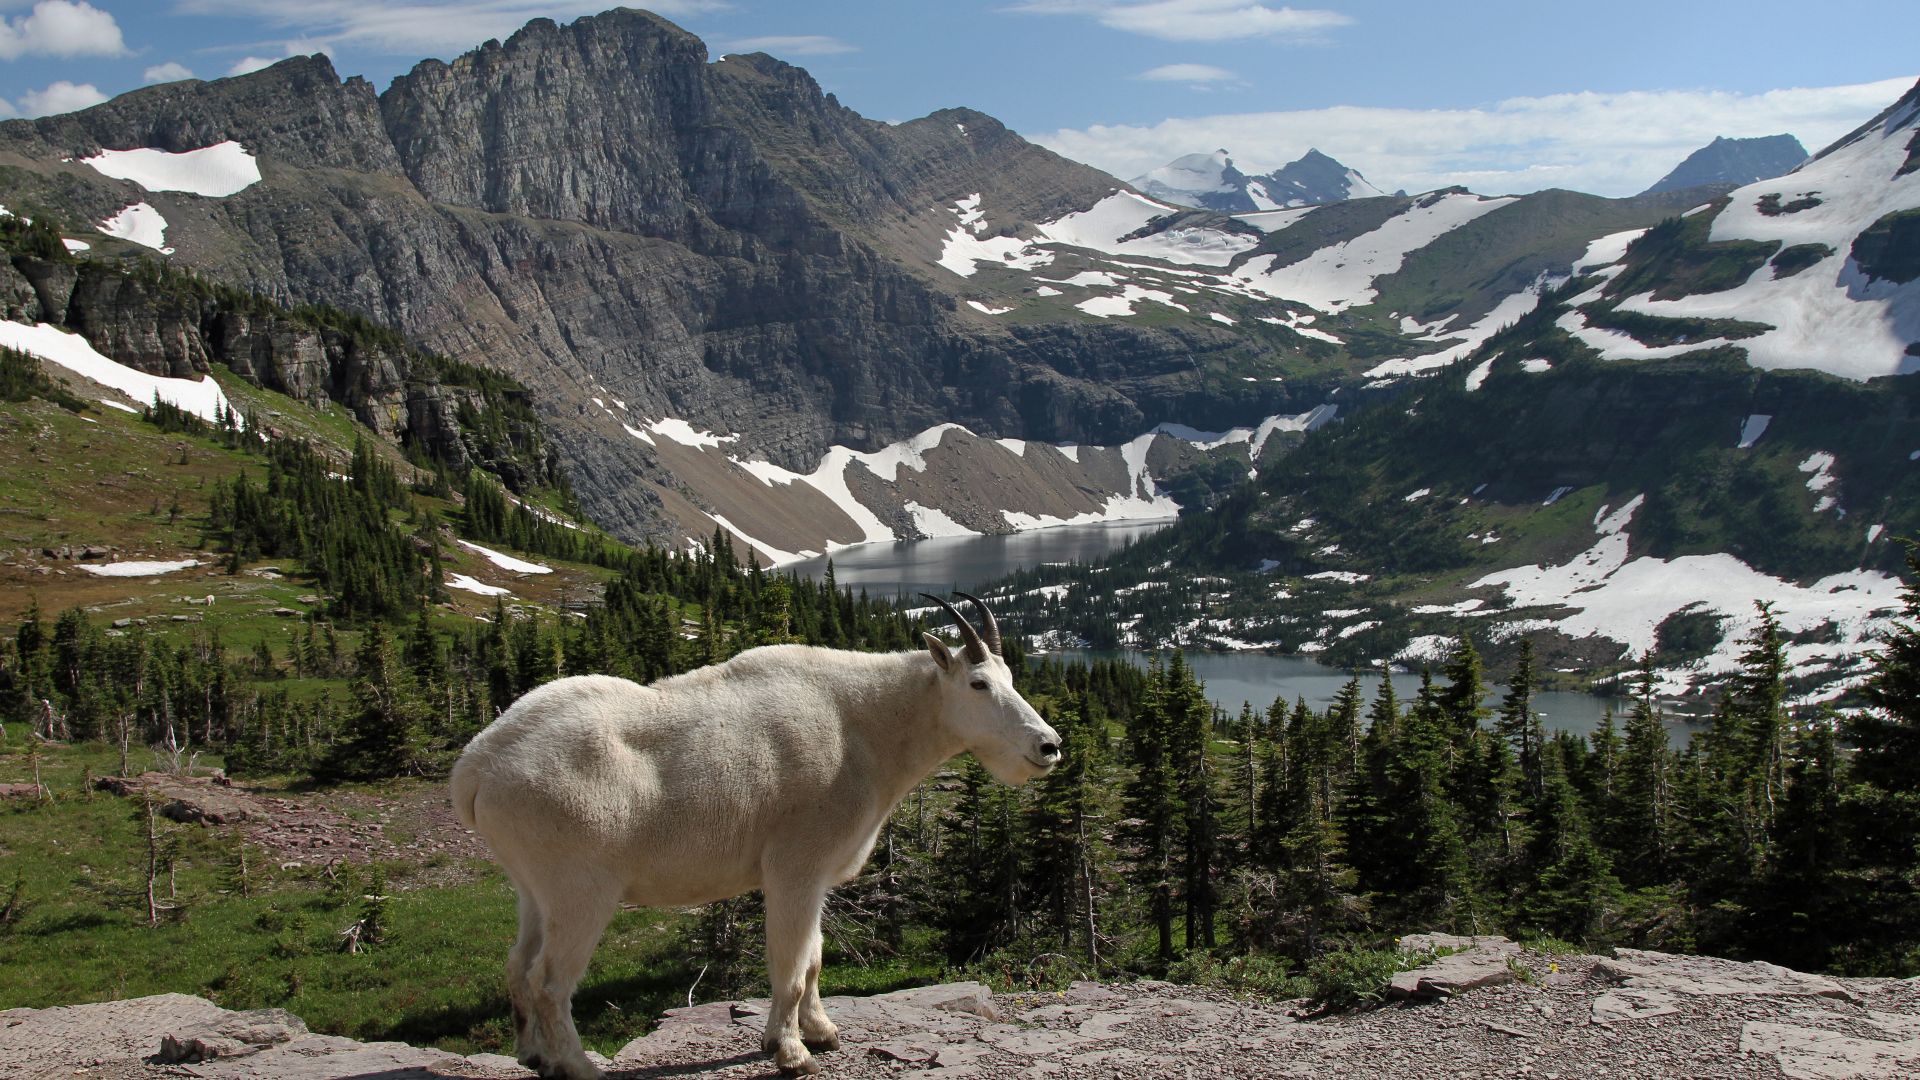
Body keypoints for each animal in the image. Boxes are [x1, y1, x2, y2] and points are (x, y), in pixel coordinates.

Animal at [451, 593, 1060, 1079]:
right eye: (978, 683)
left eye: (1012, 679)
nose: (1049, 746)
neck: (865, 729)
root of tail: (476, 767)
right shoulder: (794, 866)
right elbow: (789, 968)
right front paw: (791, 1053)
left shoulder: (816, 879)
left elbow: (812, 958)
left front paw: (821, 1032)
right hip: (581, 889)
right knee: (550, 982)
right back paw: (578, 1067)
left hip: (533, 887)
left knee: (518, 965)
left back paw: (534, 1055)